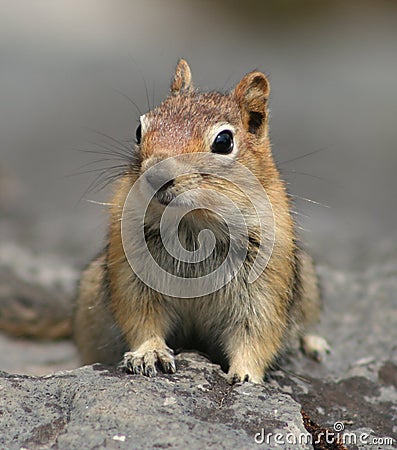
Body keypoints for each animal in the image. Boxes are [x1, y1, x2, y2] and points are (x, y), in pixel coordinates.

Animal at [72, 59, 326, 384]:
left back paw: (311, 343)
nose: (156, 175)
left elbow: (256, 334)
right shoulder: (131, 274)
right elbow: (142, 318)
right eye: (140, 128)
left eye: (224, 141)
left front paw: (246, 375)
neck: (193, 222)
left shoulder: (265, 283)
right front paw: (149, 353)